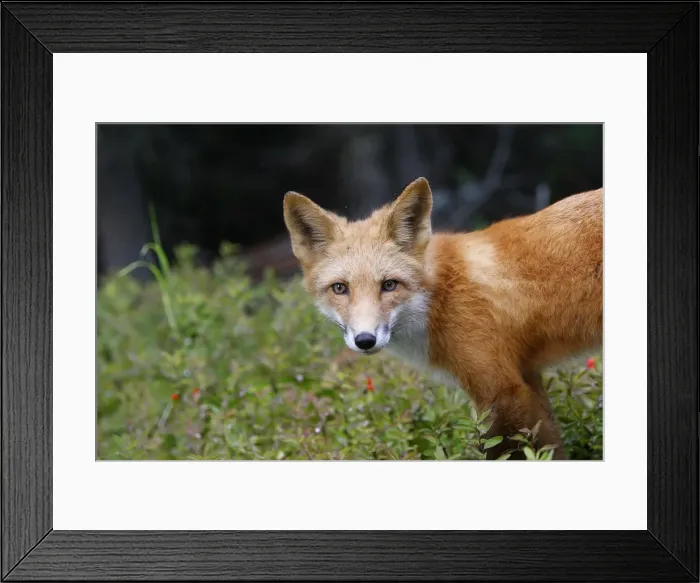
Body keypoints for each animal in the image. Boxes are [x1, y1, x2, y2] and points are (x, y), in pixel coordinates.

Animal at [282, 177, 602, 460]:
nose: (365, 340)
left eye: (389, 285)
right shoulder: (527, 375)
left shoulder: (501, 390)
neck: (439, 296)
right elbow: (552, 448)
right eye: (340, 288)